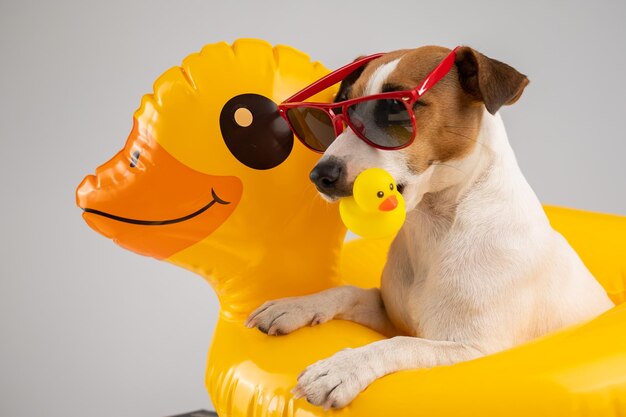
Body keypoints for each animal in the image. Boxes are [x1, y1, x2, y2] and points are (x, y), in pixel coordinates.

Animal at [243, 44, 608, 406]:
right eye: (342, 107)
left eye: (394, 110)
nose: (321, 175)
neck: (436, 226)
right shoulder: (391, 314)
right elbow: (348, 291)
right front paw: (294, 306)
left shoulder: (471, 350)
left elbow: (401, 344)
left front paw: (341, 369)